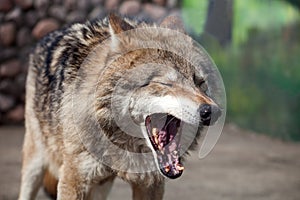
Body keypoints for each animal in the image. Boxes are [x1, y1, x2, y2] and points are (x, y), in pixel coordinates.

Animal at [18, 13, 220, 199]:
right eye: (166, 83)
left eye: (199, 82)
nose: (212, 111)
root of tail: (50, 35)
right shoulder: (73, 179)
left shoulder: (150, 183)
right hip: (35, 162)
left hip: (101, 186)